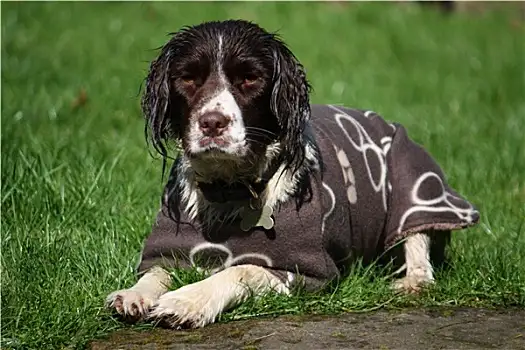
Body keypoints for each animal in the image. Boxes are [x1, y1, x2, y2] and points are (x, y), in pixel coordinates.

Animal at [104, 20, 476, 330]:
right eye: (188, 78)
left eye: (250, 78)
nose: (212, 123)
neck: (231, 190)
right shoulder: (172, 247)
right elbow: (157, 271)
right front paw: (134, 294)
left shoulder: (304, 271)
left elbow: (242, 268)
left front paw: (188, 300)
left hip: (412, 180)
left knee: (418, 243)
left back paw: (412, 282)